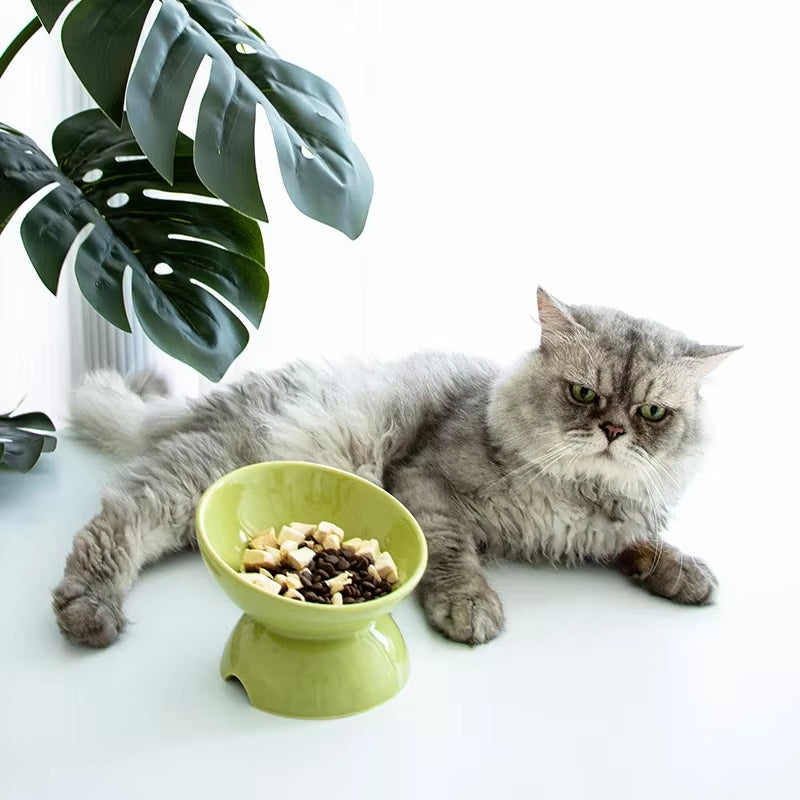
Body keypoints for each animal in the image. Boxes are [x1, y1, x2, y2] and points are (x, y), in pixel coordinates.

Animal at [51, 290, 736, 648]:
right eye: (582, 394)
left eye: (652, 412)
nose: (614, 432)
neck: (578, 493)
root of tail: (224, 395)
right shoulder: (427, 484)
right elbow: (455, 556)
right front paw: (470, 608)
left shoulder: (606, 530)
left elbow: (642, 543)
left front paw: (683, 574)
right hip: (199, 480)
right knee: (115, 524)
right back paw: (89, 612)